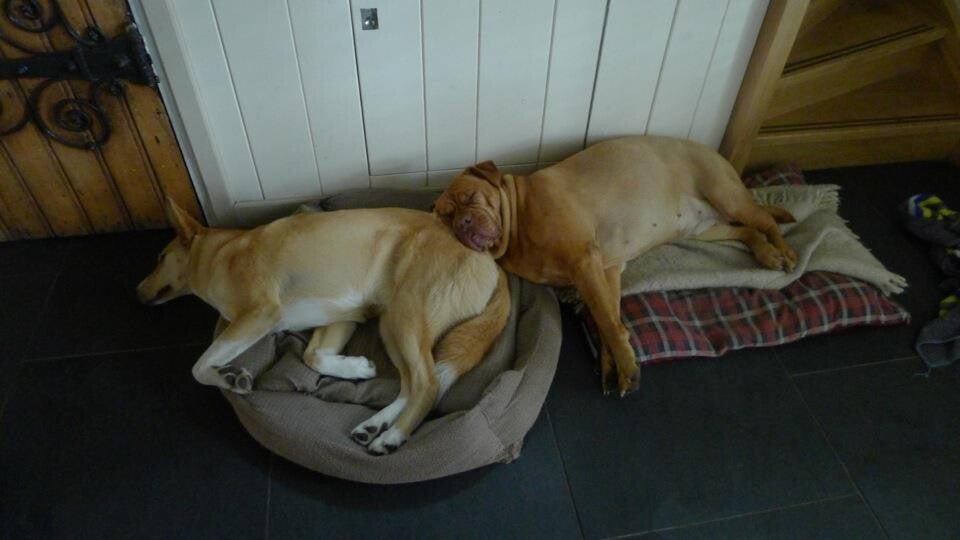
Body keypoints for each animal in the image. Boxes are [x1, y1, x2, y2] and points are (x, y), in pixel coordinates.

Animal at [137, 199, 510, 455]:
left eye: (159, 257)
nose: (136, 292)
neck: (222, 253)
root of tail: (494, 265)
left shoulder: (258, 315)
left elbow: (198, 367)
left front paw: (230, 378)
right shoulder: (342, 316)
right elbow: (312, 356)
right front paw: (357, 368)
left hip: (406, 317)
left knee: (428, 384)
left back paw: (392, 436)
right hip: (391, 324)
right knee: (411, 385)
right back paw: (374, 425)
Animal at [433, 135, 796, 396]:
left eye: (468, 198)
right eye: (445, 217)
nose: (462, 224)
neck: (517, 224)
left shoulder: (586, 264)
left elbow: (608, 322)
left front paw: (626, 366)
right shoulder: (602, 272)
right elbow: (608, 318)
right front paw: (613, 363)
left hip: (727, 196)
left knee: (765, 220)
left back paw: (784, 252)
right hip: (707, 229)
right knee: (747, 231)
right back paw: (766, 253)